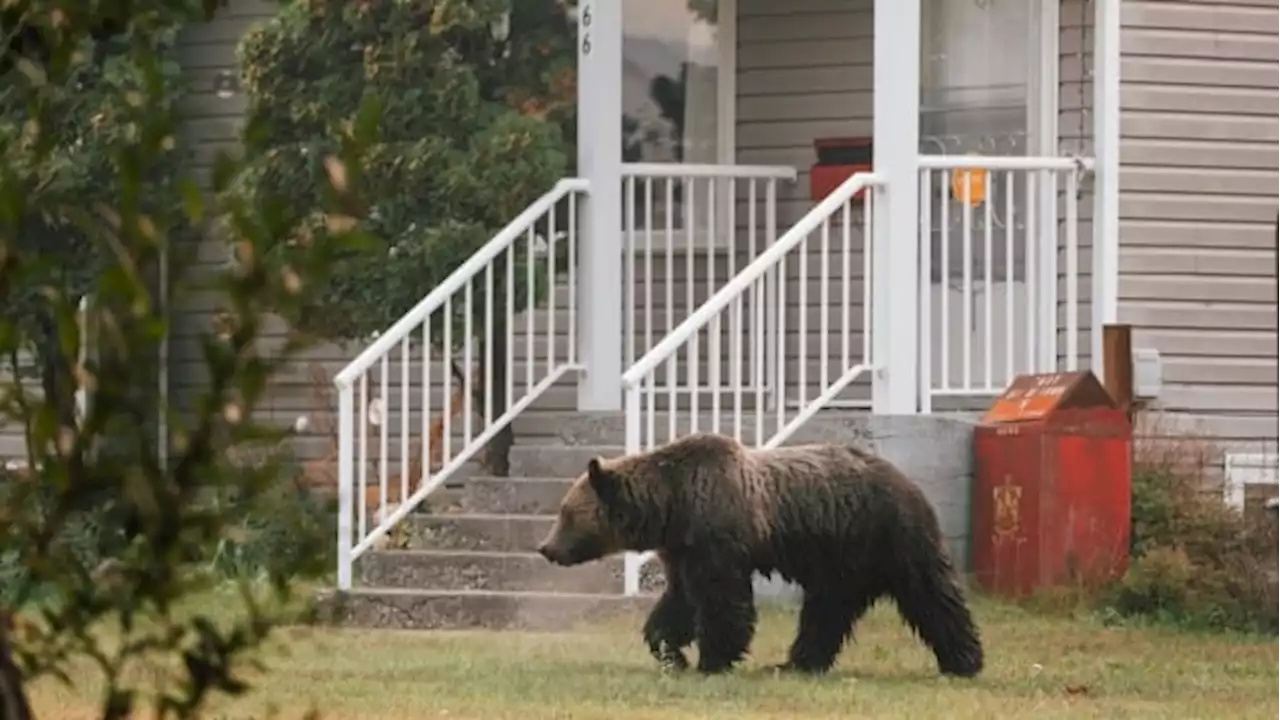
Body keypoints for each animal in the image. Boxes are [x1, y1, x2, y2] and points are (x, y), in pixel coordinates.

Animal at [535, 435, 983, 676]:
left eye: (565, 512)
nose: (546, 547)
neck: (674, 505)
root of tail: (907, 478)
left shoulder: (718, 537)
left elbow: (722, 602)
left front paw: (712, 658)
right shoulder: (683, 550)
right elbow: (679, 603)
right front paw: (670, 651)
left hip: (889, 533)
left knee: (931, 593)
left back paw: (964, 660)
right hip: (842, 561)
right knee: (827, 611)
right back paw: (797, 663)